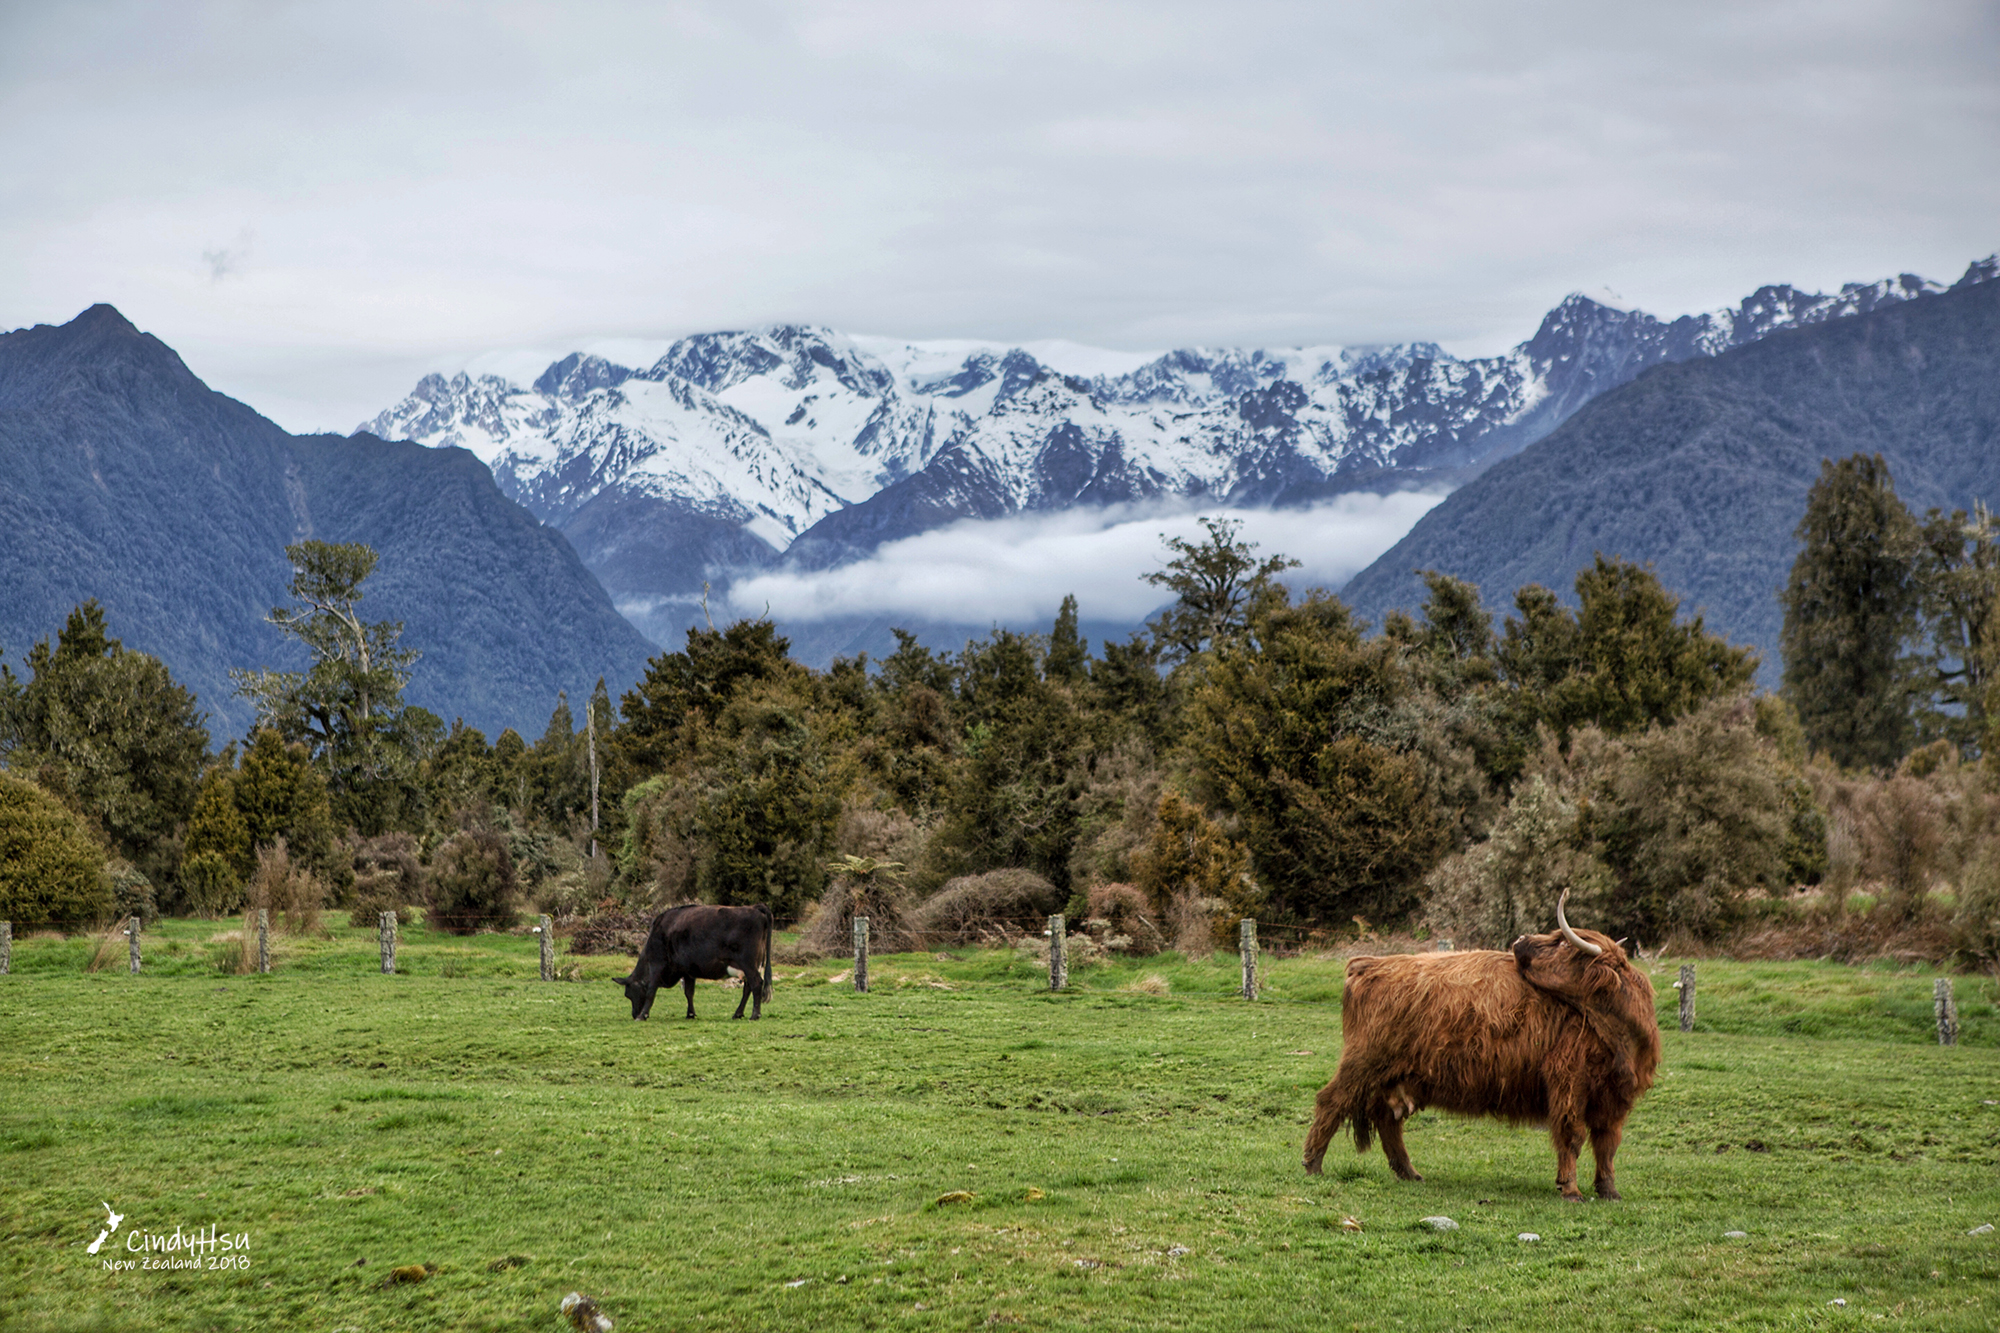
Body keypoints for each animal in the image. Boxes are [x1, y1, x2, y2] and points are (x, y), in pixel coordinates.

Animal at [616, 904, 772, 1016]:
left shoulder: (657, 964)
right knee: (748, 987)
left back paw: (755, 1015)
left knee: (756, 984)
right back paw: (738, 1013)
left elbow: (651, 991)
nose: (634, 1015)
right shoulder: (687, 970)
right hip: (753, 965)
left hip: (748, 963)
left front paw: (643, 1015)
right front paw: (690, 1014)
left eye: (628, 994)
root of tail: (754, 908)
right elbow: (689, 992)